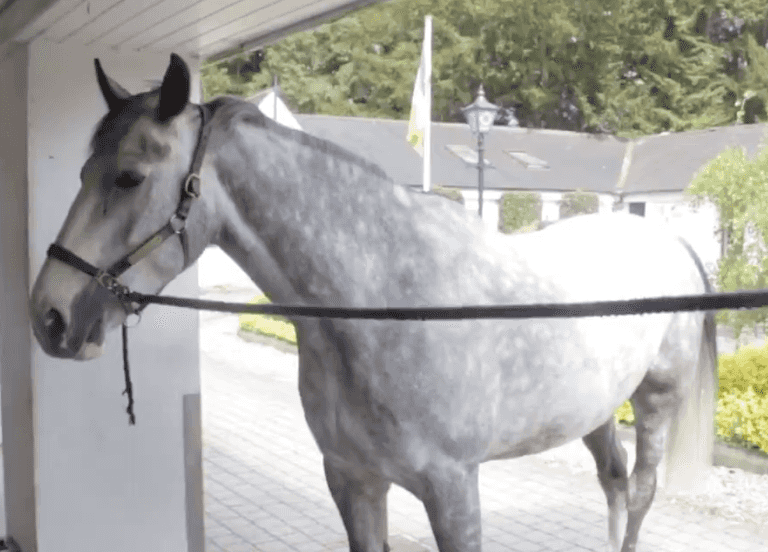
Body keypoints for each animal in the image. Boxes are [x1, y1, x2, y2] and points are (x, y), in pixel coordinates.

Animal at [29, 54, 717, 552]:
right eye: (84, 172)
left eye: (129, 177)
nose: (48, 316)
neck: (384, 304)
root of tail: (669, 240)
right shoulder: (351, 479)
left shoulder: (453, 492)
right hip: (594, 409)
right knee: (615, 481)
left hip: (654, 401)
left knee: (642, 491)